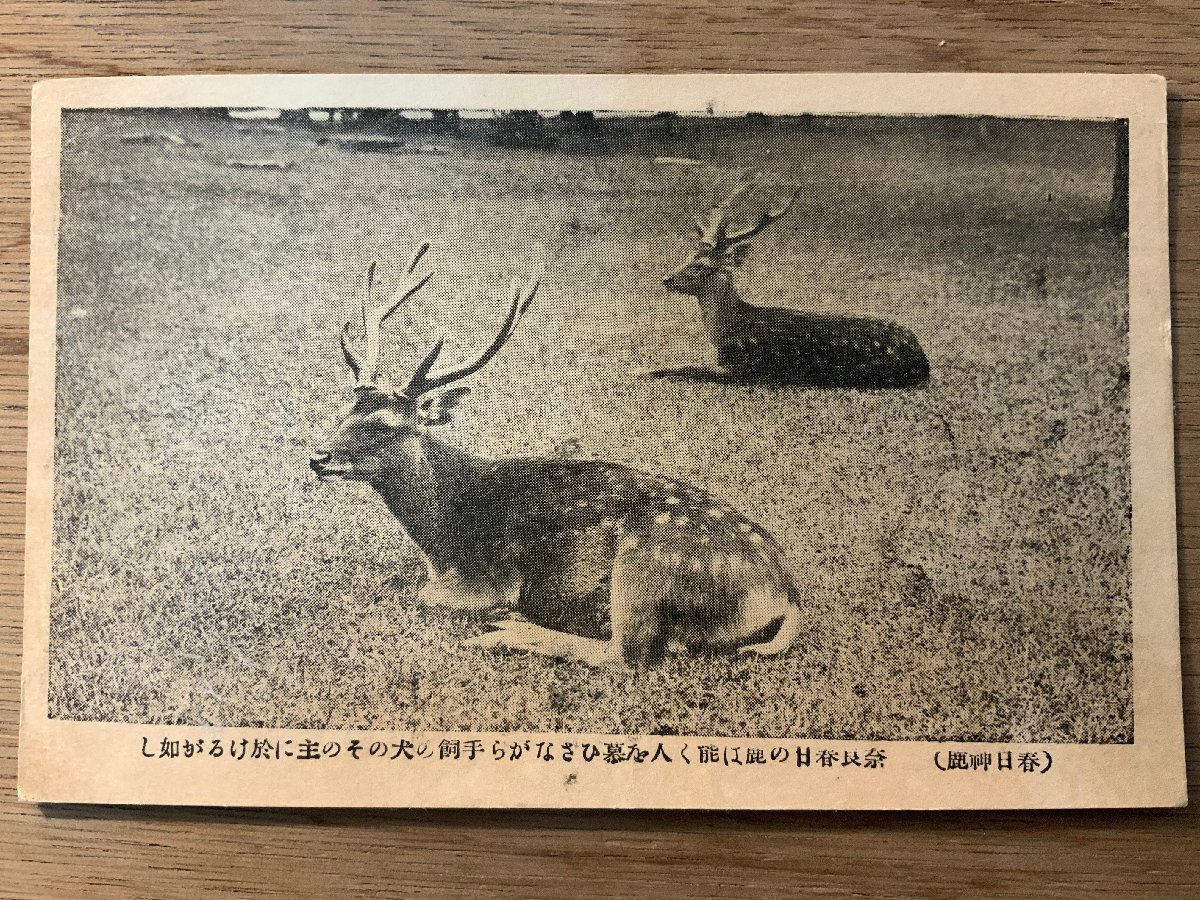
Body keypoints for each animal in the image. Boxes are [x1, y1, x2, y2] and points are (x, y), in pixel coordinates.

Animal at [309, 243, 806, 667]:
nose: (319, 457)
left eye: (383, 426)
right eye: (345, 407)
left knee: (629, 655)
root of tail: (786, 593)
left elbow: (425, 595)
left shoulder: (491, 577)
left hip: (643, 567)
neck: (446, 533)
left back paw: (511, 630)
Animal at [662, 180, 931, 388]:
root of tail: (923, 362)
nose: (666, 279)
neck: (726, 330)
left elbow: (685, 367)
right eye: (687, 257)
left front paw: (650, 370)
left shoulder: (744, 367)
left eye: (701, 267)